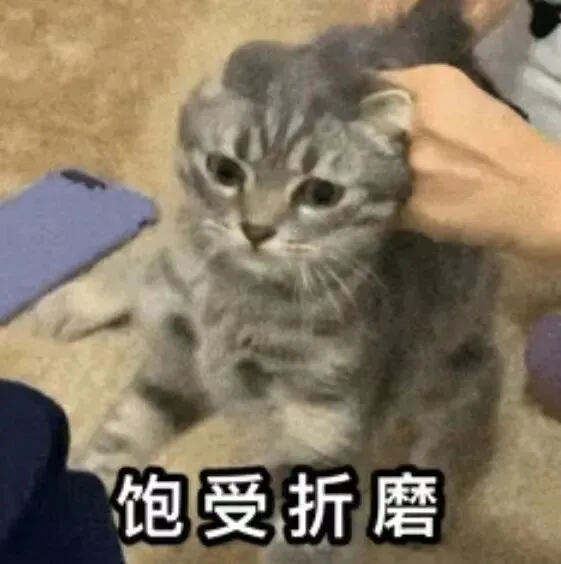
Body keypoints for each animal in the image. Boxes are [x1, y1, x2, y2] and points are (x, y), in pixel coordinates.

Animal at [35, 0, 505, 561]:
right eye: (226, 170)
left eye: (321, 194)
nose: (256, 230)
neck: (238, 300)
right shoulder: (177, 366)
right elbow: (118, 437)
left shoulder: (323, 444)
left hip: (446, 341)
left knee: (478, 379)